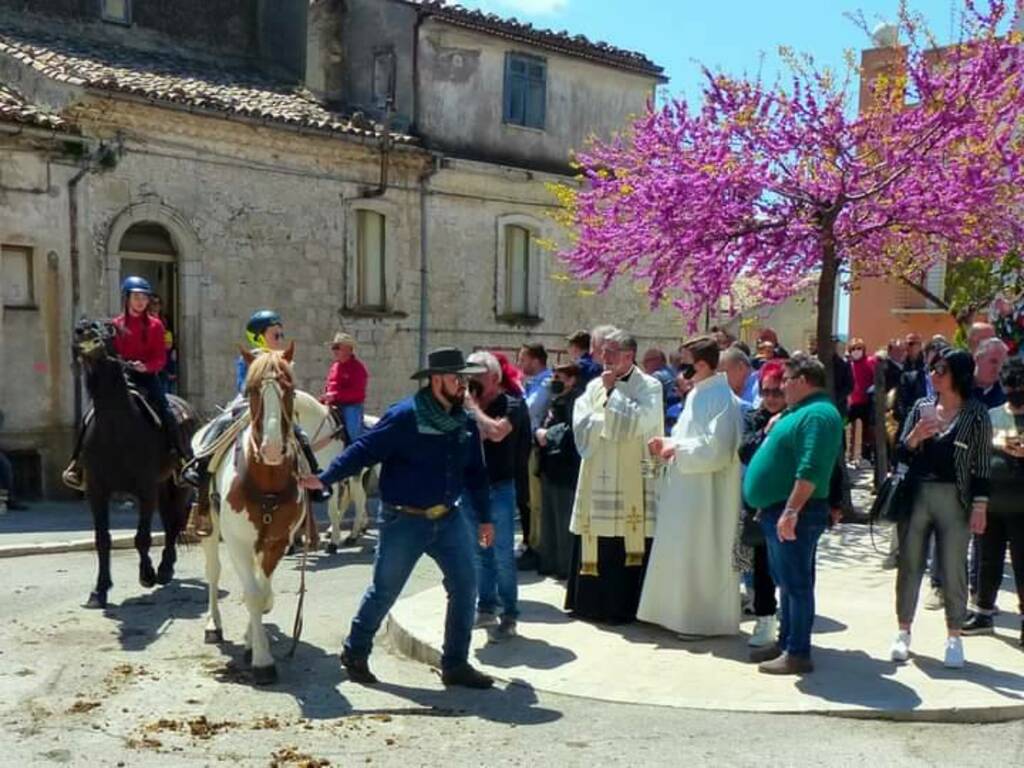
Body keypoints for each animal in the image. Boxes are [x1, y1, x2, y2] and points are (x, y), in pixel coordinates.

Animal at [70, 317, 197, 606]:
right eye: (81, 326)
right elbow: (102, 539)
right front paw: (100, 590)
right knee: (170, 521)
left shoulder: (145, 490)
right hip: (163, 486)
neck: (116, 427)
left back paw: (164, 570)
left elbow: (142, 538)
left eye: (108, 330)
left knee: (173, 524)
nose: (84, 333)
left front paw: (147, 575)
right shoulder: (96, 491)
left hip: (178, 487)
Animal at [198, 344, 307, 684]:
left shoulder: (277, 542)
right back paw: (214, 626)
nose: (272, 448)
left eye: (290, 389)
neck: (267, 480)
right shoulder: (237, 542)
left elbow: (262, 593)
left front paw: (252, 643)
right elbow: (253, 592)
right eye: (253, 390)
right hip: (211, 529)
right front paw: (262, 661)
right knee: (213, 572)